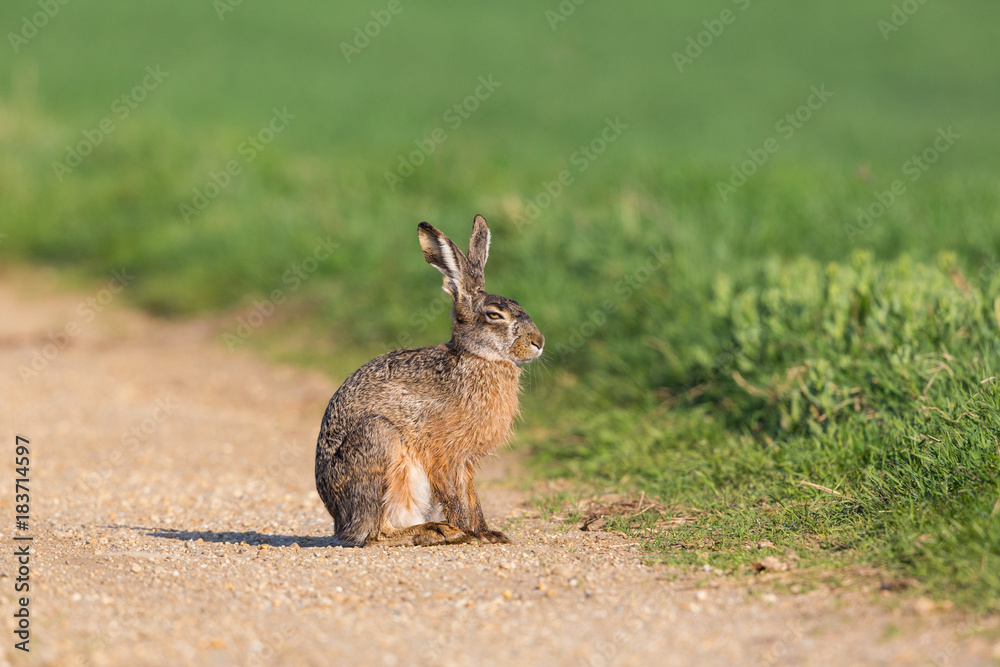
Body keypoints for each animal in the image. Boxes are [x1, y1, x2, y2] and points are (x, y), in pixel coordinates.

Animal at [315, 214, 544, 547]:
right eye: (494, 315)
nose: (539, 342)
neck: (476, 358)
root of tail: (340, 523)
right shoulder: (443, 454)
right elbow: (455, 497)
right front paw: (468, 534)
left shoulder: (465, 462)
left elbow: (472, 496)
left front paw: (487, 533)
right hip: (380, 443)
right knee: (376, 533)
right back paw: (436, 530)